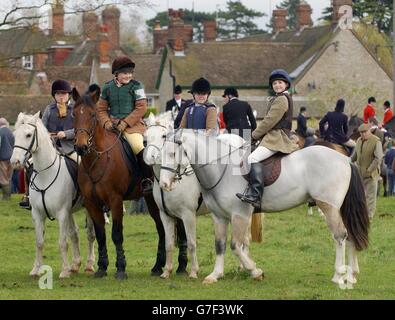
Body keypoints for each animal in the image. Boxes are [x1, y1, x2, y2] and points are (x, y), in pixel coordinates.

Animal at [10, 112, 95, 278]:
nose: (15, 162)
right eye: (15, 135)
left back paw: (89, 265)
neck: (46, 174)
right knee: (74, 234)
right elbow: (39, 242)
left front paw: (64, 271)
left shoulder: (61, 214)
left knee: (90, 234)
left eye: (29, 135)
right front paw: (36, 269)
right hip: (70, 212)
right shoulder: (37, 214)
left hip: (87, 209)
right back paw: (75, 265)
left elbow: (62, 242)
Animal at [71, 89, 187, 278]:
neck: (97, 160)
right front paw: (101, 267)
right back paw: (157, 266)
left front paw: (120, 268)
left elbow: (117, 234)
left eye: (93, 114)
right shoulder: (92, 203)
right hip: (151, 200)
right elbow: (101, 234)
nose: (81, 147)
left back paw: (182, 265)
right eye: (74, 114)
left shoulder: (116, 200)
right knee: (161, 229)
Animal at [160, 130, 372, 288]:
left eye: (173, 154)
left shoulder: (239, 215)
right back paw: (351, 274)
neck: (221, 168)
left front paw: (256, 271)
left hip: (328, 206)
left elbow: (236, 246)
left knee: (339, 236)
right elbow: (220, 245)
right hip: (340, 208)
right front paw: (215, 275)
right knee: (350, 235)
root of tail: (345, 159)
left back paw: (338, 275)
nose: (163, 184)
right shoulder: (219, 217)